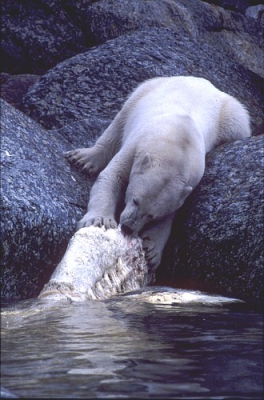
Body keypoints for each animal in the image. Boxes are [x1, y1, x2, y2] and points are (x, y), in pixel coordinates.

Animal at [65, 76, 251, 272]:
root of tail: (205, 82)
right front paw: (100, 220)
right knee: (120, 121)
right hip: (147, 90)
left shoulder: (188, 183)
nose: (128, 228)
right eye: (135, 200)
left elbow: (170, 216)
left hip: (229, 115)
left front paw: (152, 250)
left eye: (152, 216)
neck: (175, 144)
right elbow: (112, 176)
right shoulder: (137, 145)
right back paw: (84, 159)